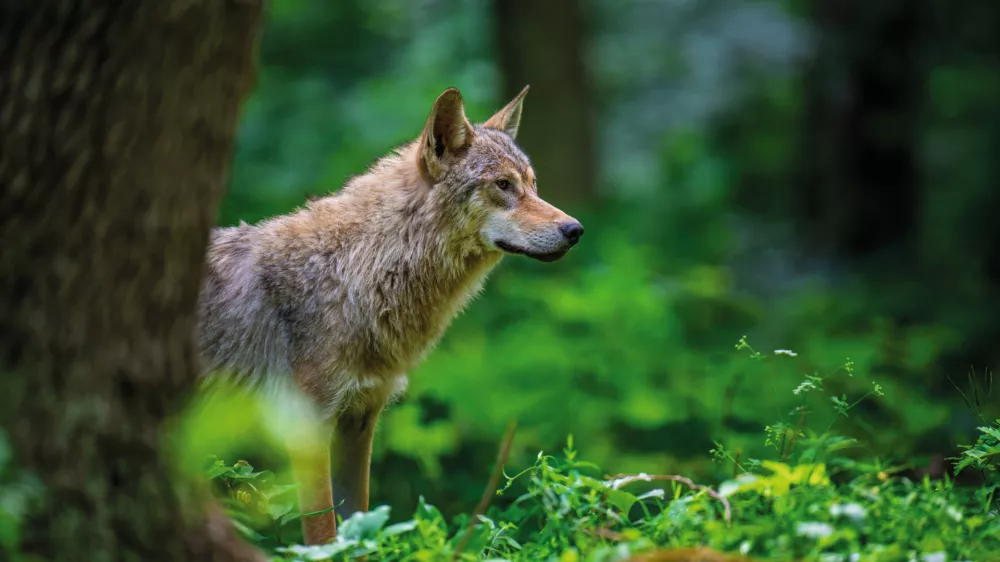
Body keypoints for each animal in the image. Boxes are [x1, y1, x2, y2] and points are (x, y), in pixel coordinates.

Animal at [196, 86, 584, 545]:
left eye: (533, 186)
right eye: (503, 185)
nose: (575, 230)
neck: (357, 272)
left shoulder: (360, 420)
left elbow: (357, 527)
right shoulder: (306, 429)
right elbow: (324, 537)